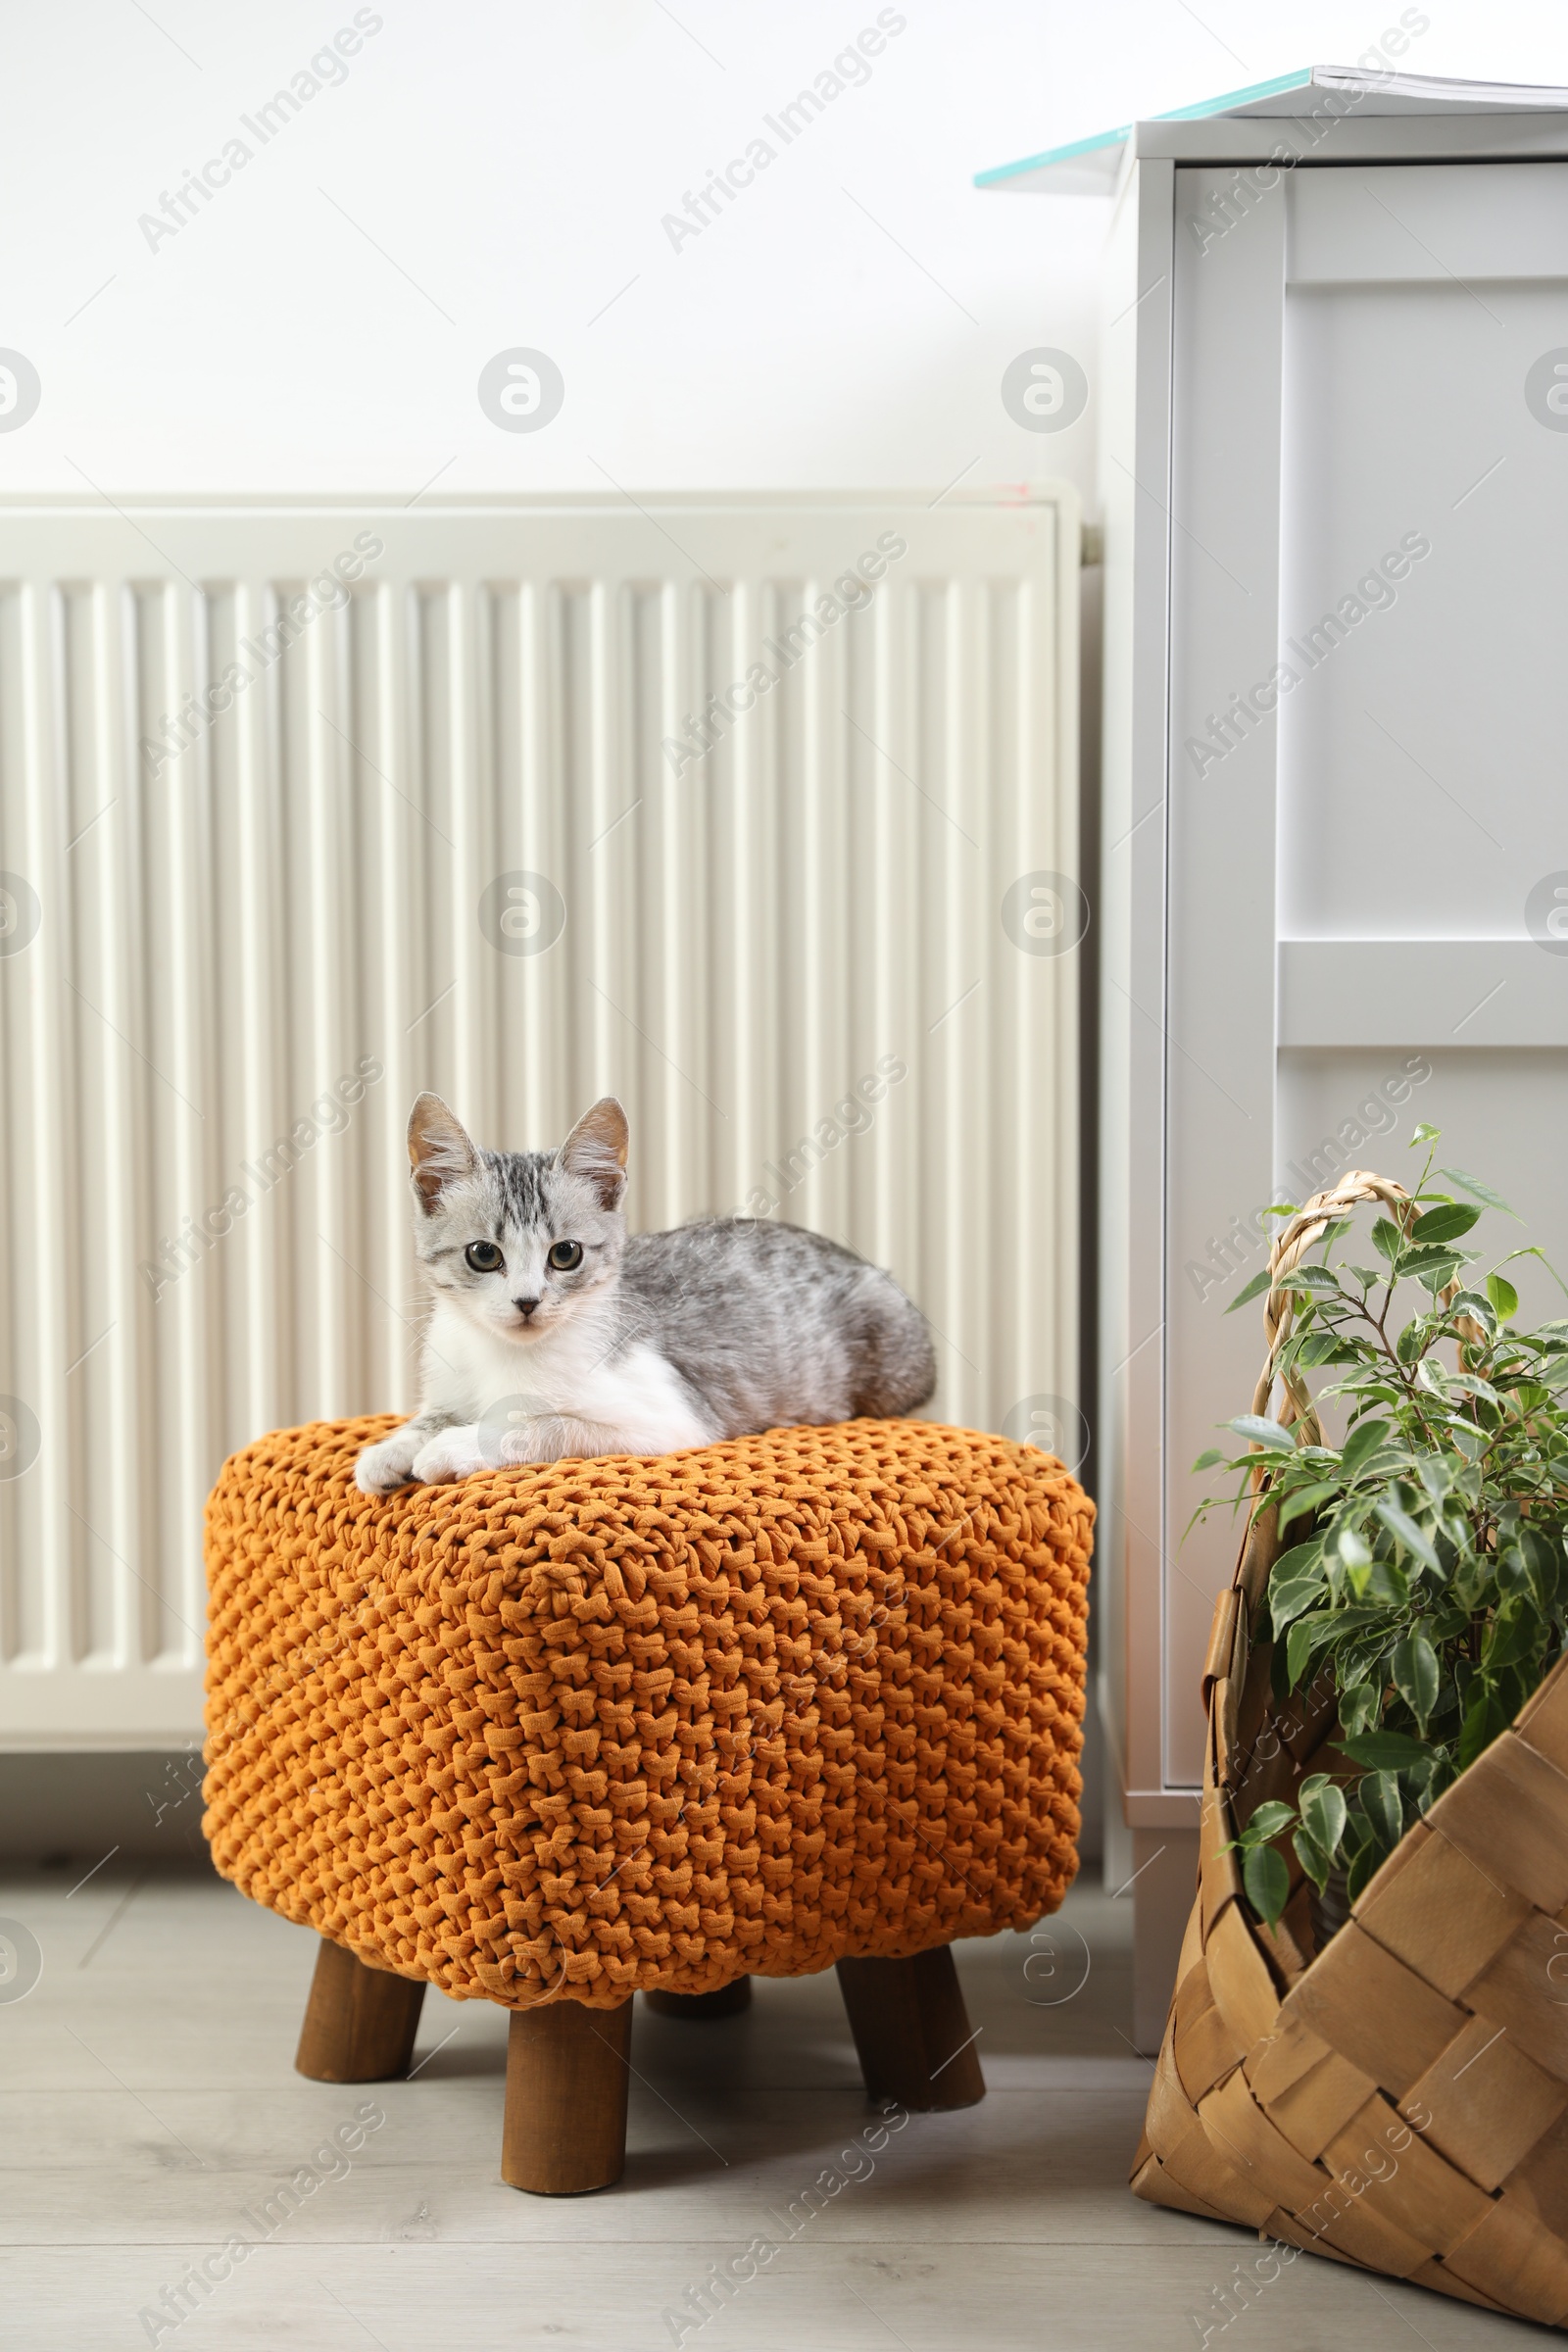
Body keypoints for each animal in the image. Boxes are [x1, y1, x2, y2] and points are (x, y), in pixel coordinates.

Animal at [355, 1096, 940, 1495]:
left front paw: (455, 1445)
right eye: (483, 1254)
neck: (503, 1354)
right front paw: (392, 1449)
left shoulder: (670, 1417)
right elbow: (432, 1415)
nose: (527, 1302)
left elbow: (545, 1423)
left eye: (565, 1254)